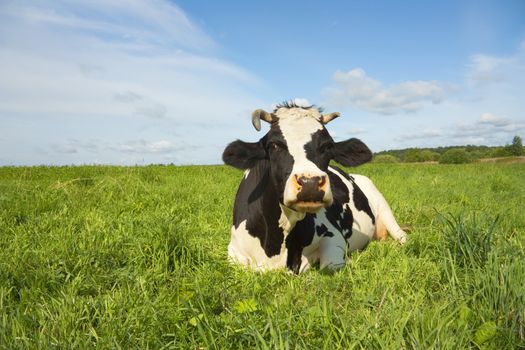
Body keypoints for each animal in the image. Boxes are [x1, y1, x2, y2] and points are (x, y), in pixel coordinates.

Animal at [221, 102, 406, 274]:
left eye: (327, 146)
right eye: (274, 145)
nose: (310, 182)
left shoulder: (334, 235)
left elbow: (329, 266)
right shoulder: (233, 251)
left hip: (385, 209)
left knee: (402, 236)